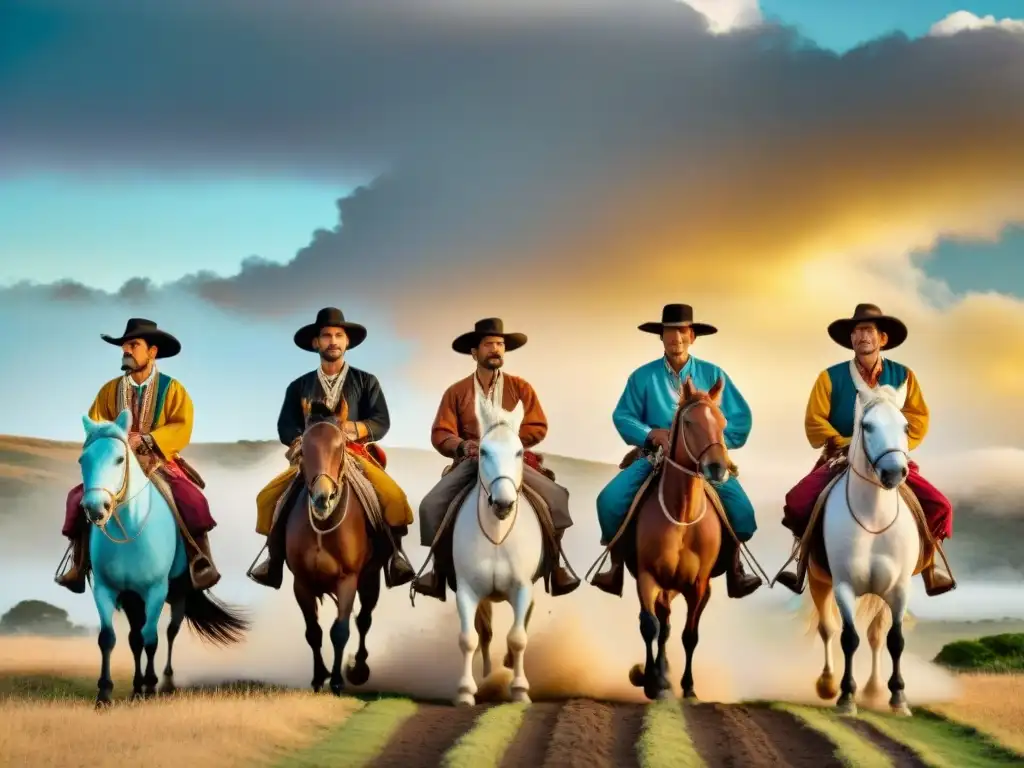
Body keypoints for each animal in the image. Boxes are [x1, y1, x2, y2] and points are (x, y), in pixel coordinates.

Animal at [286, 397, 382, 696]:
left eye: (340, 446)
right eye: (303, 448)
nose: (322, 498)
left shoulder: (348, 579)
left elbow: (340, 631)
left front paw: (338, 680)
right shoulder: (302, 583)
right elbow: (313, 632)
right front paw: (319, 677)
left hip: (371, 579)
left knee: (364, 620)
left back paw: (359, 668)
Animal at [450, 399, 544, 708]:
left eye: (519, 452)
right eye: (483, 451)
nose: (503, 503)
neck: (498, 536)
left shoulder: (523, 587)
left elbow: (518, 638)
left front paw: (520, 690)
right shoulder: (466, 590)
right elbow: (468, 638)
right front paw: (465, 692)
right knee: (484, 633)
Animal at [618, 376, 733, 704]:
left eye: (722, 422)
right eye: (690, 422)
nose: (717, 467)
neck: (681, 516)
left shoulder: (698, 585)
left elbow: (689, 635)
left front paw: (689, 688)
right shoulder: (647, 577)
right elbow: (650, 626)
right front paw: (653, 682)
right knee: (661, 625)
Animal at [806, 376, 921, 720]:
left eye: (905, 425)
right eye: (867, 426)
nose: (894, 472)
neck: (873, 520)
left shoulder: (899, 589)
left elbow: (894, 640)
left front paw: (898, 697)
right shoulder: (843, 586)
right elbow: (848, 638)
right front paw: (846, 696)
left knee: (876, 635)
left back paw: (873, 690)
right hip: (819, 582)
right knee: (828, 629)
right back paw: (828, 684)